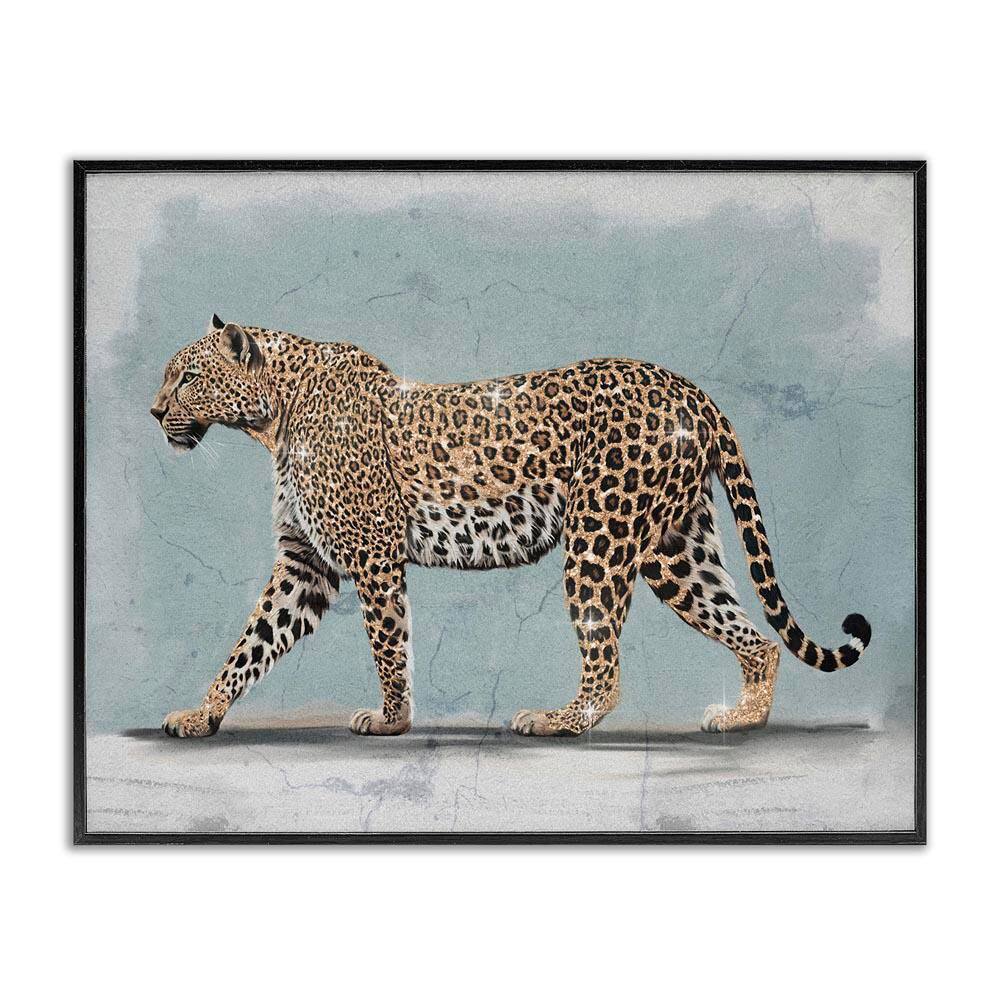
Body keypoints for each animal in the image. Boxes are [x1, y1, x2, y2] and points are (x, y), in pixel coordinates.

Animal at [152, 315, 872, 739]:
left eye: (187, 378)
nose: (154, 410)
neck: (274, 418)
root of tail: (690, 389)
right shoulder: (306, 562)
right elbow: (251, 642)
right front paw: (202, 712)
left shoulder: (372, 556)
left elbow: (388, 645)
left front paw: (391, 720)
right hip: (678, 549)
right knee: (755, 636)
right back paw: (743, 717)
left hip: (600, 538)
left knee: (606, 665)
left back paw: (557, 720)